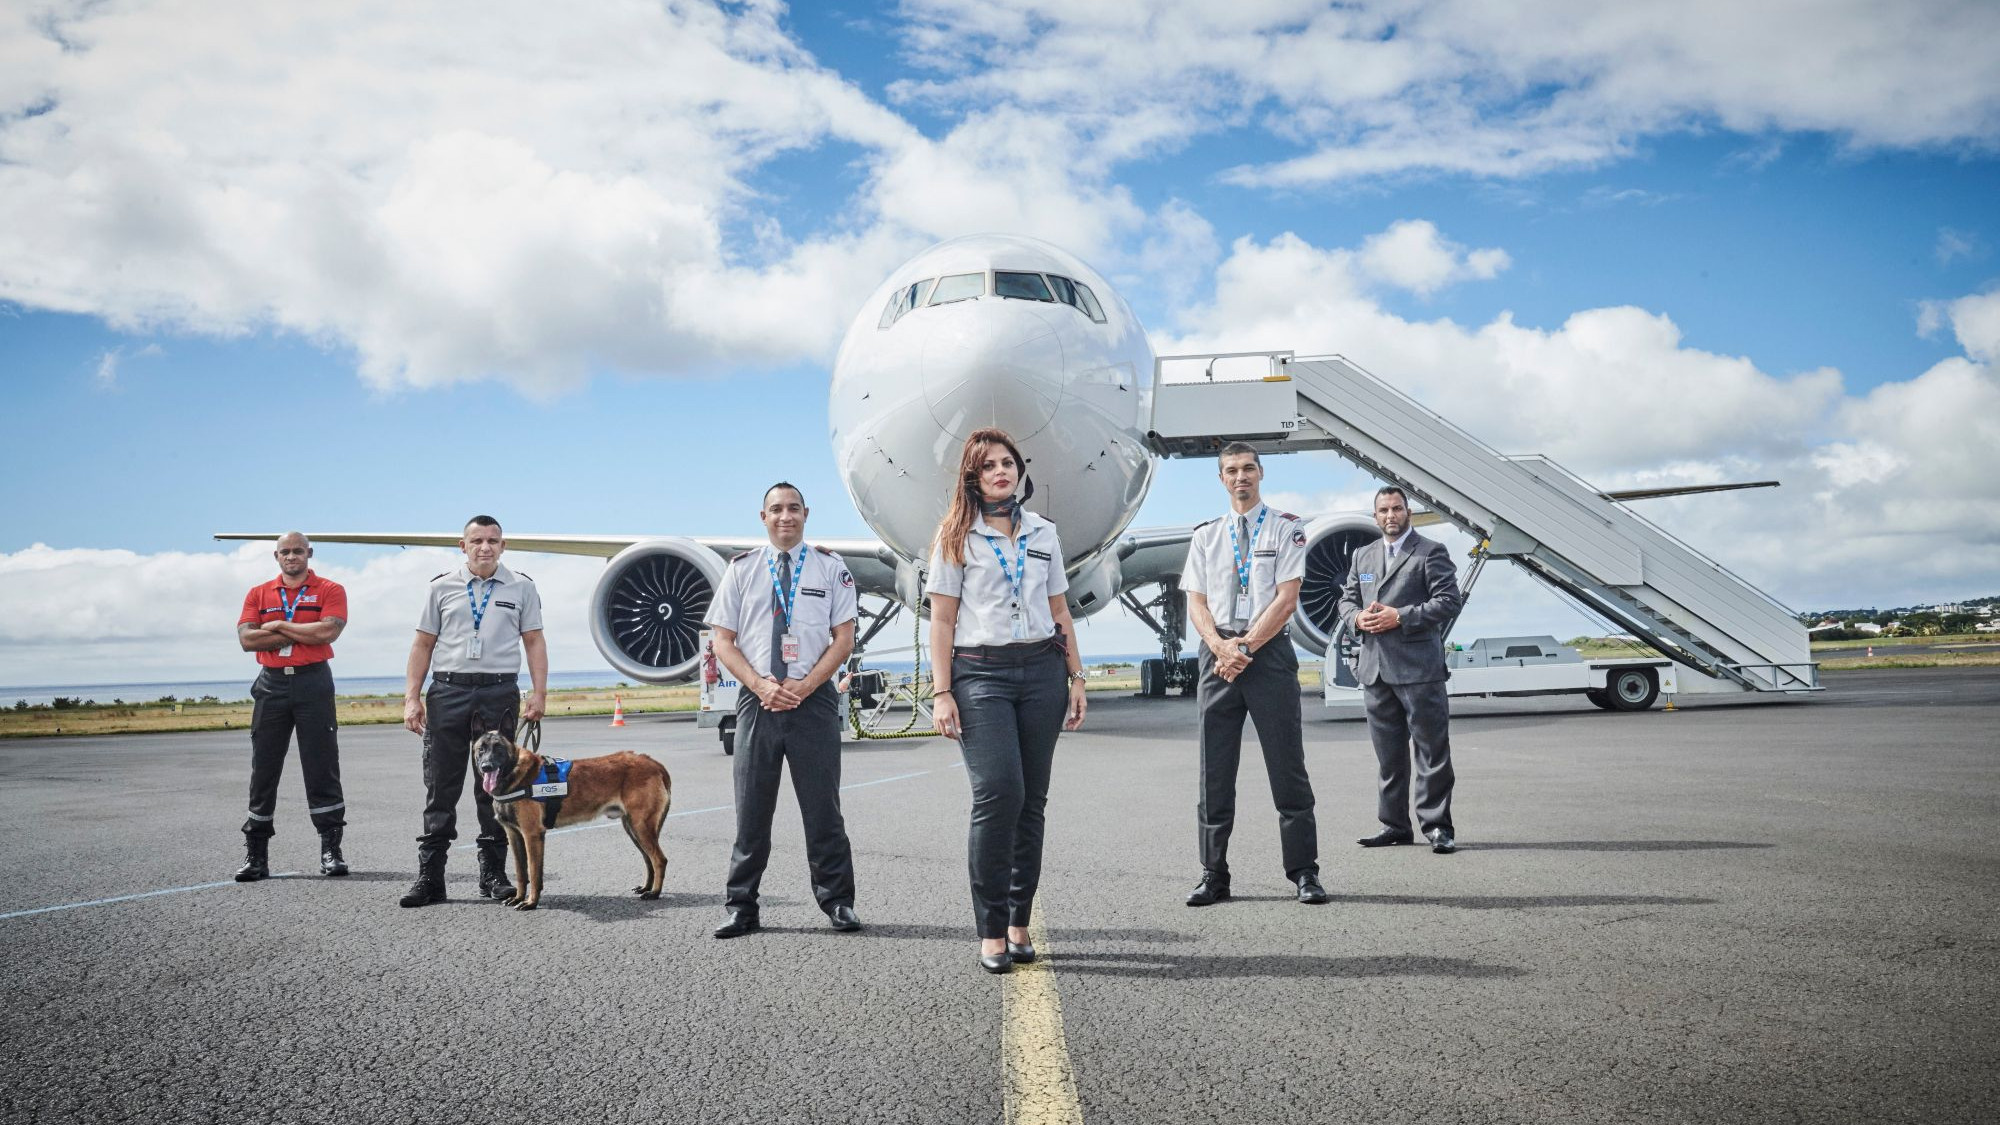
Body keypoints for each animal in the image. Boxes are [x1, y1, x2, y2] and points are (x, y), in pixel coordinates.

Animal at [474, 720, 672, 904]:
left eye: (498, 748)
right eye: (481, 749)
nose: (486, 766)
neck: (514, 774)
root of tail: (653, 762)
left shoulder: (532, 834)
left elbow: (534, 872)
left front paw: (530, 902)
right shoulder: (514, 835)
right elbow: (521, 872)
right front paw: (518, 898)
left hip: (640, 827)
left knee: (659, 860)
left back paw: (654, 893)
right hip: (633, 828)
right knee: (648, 859)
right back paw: (646, 887)